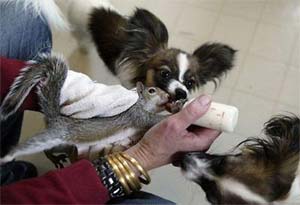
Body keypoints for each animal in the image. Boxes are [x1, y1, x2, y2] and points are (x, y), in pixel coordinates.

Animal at [0, 54, 180, 168]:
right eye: (152, 90)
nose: (168, 96)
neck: (141, 104)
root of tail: (56, 119)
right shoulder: (137, 115)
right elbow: (152, 120)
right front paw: (174, 112)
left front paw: (175, 105)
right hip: (52, 136)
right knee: (32, 144)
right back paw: (7, 157)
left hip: (60, 144)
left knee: (48, 150)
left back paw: (54, 158)